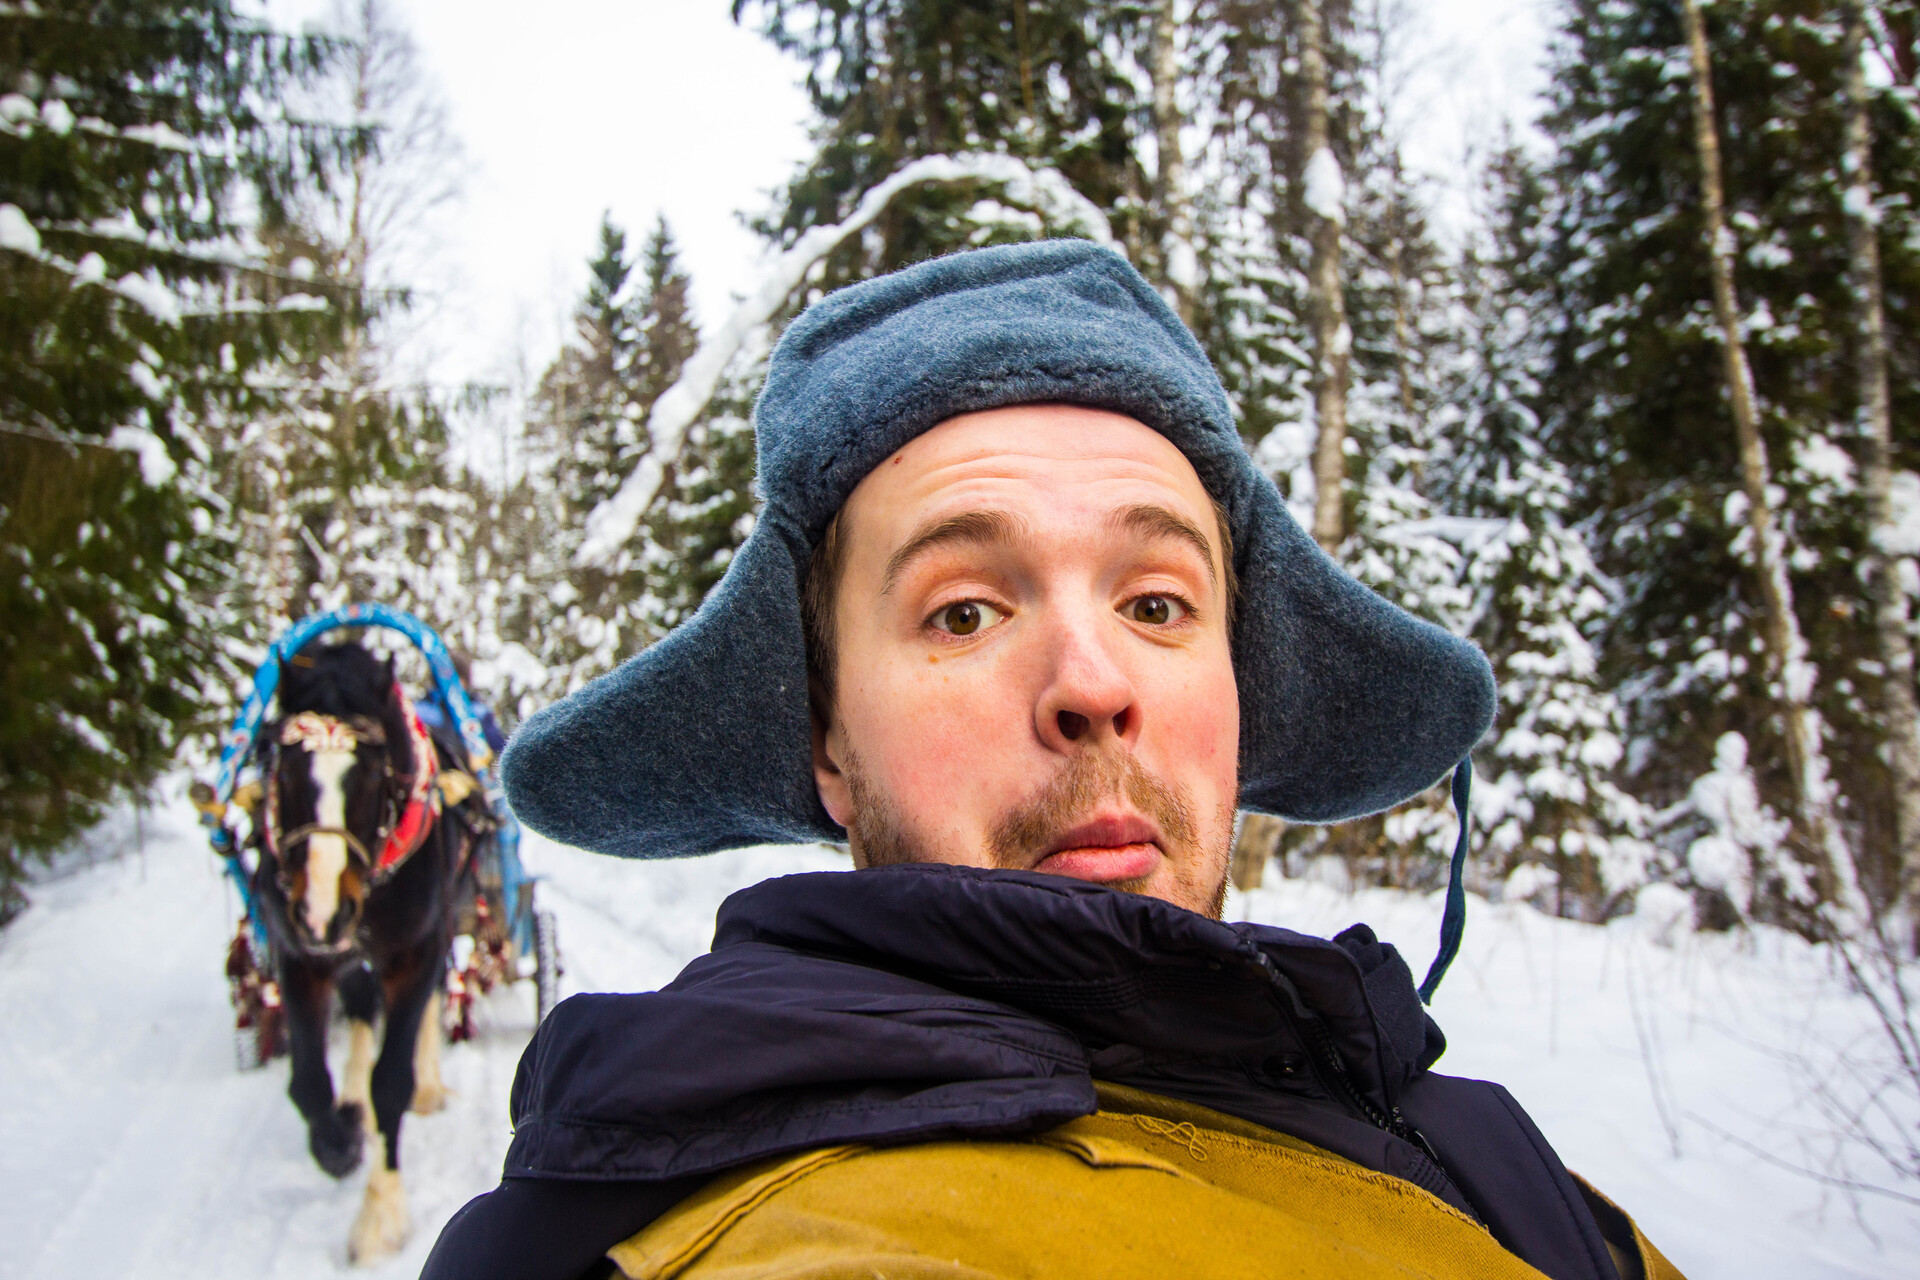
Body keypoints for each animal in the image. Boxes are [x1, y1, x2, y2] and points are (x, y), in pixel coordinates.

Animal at [251, 639, 481, 1263]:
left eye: (373, 773)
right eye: (284, 768)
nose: (322, 913)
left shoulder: (416, 950)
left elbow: (391, 1081)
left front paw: (379, 1215)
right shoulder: (300, 957)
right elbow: (309, 1083)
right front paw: (341, 1140)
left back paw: (426, 1085)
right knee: (357, 1007)